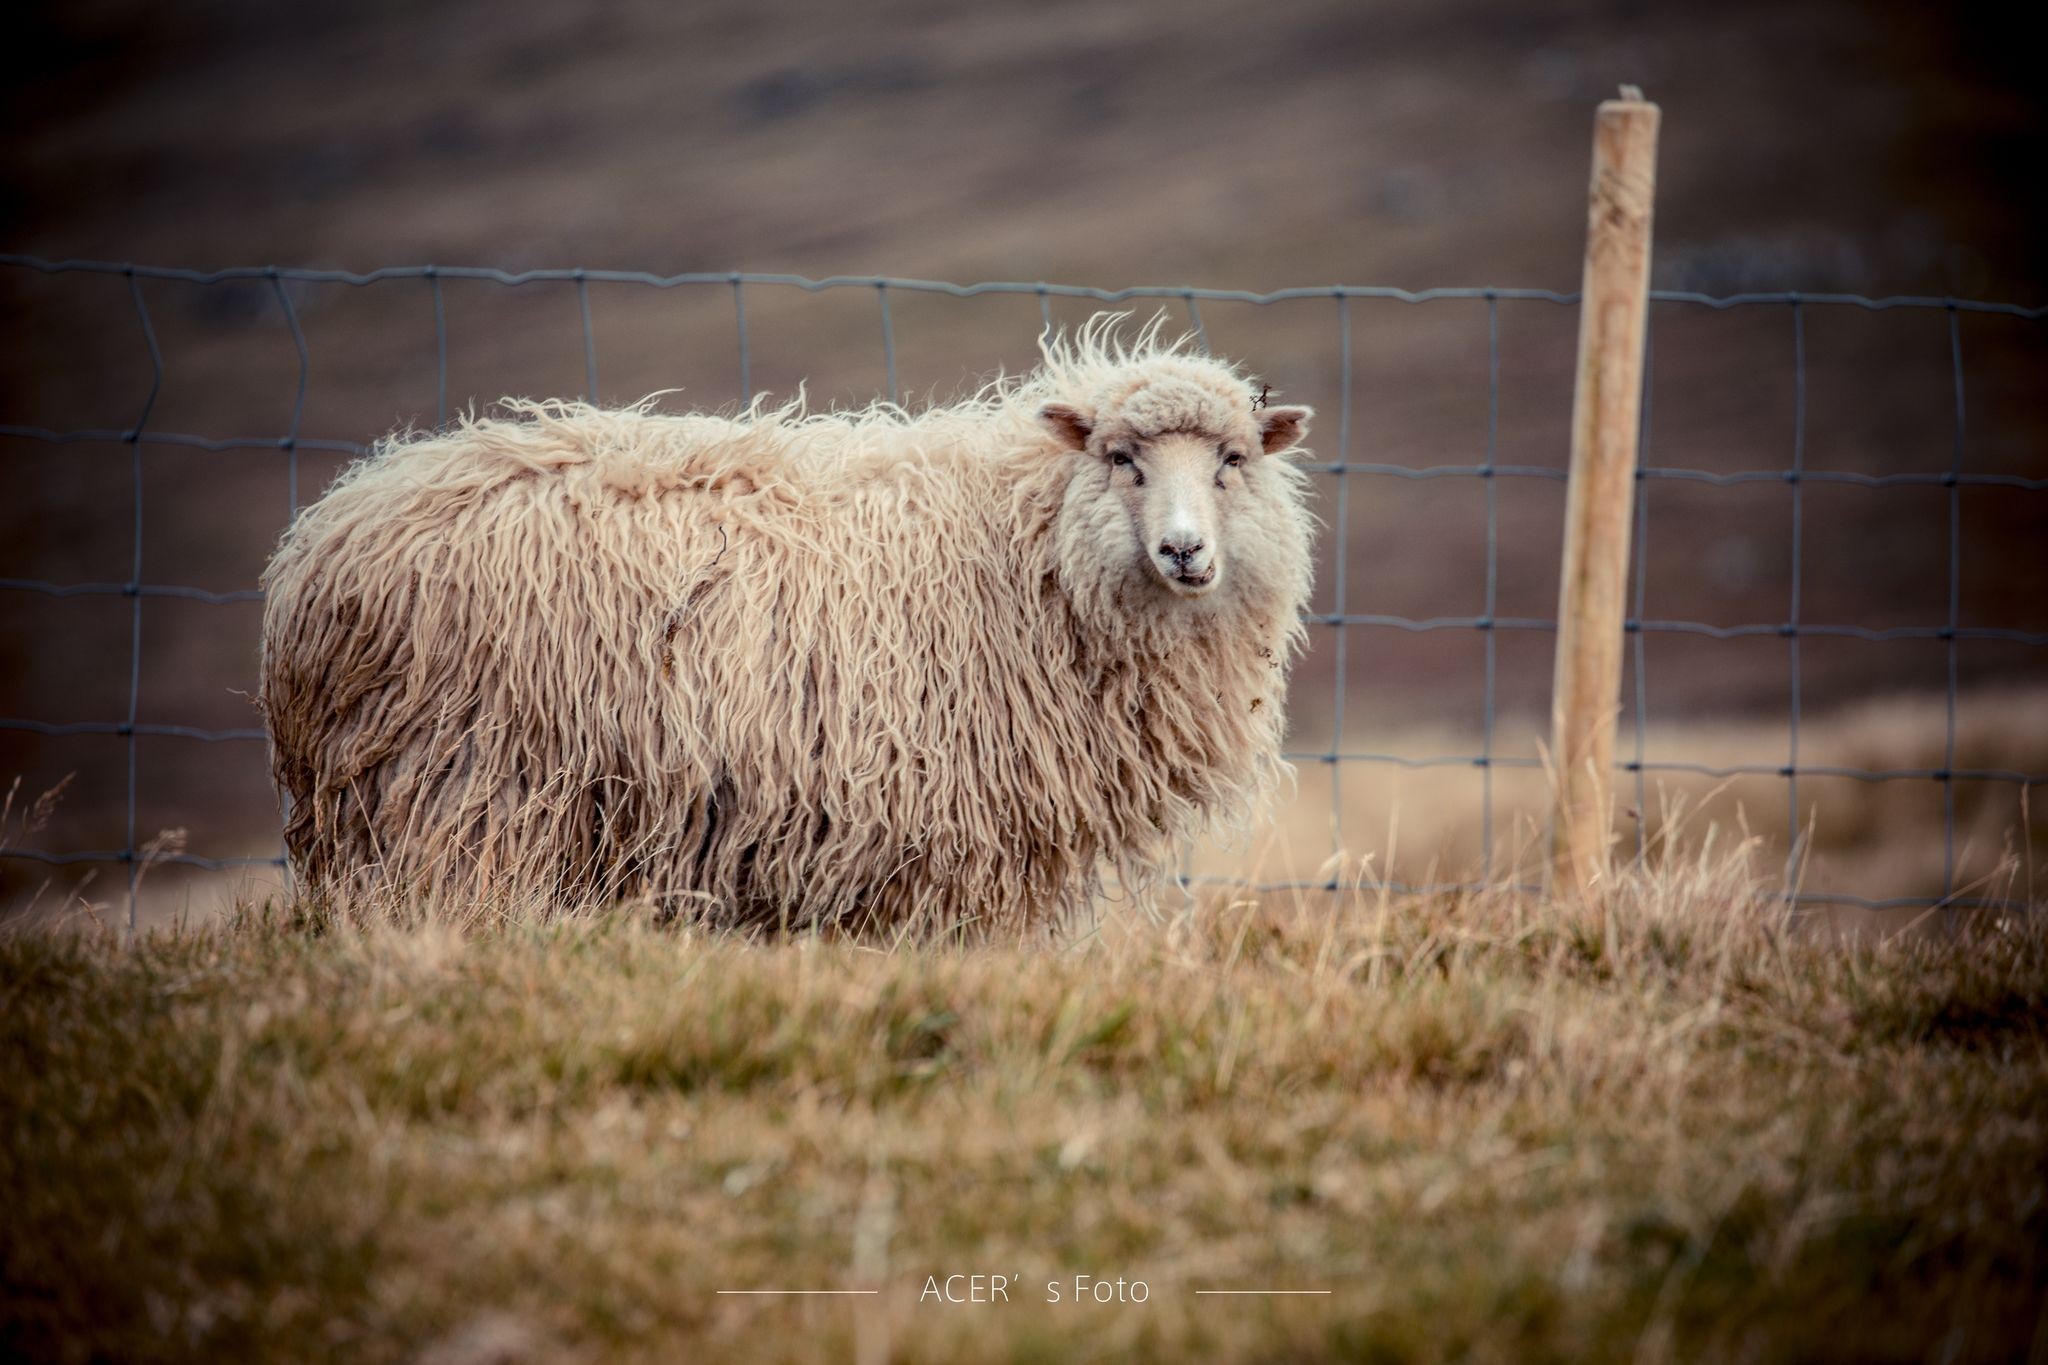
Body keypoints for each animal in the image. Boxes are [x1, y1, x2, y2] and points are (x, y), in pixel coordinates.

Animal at [260, 317, 1310, 941]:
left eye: (1233, 460)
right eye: (1123, 458)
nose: (1184, 551)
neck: (1026, 544)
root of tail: (324, 544)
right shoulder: (954, 837)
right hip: (458, 791)